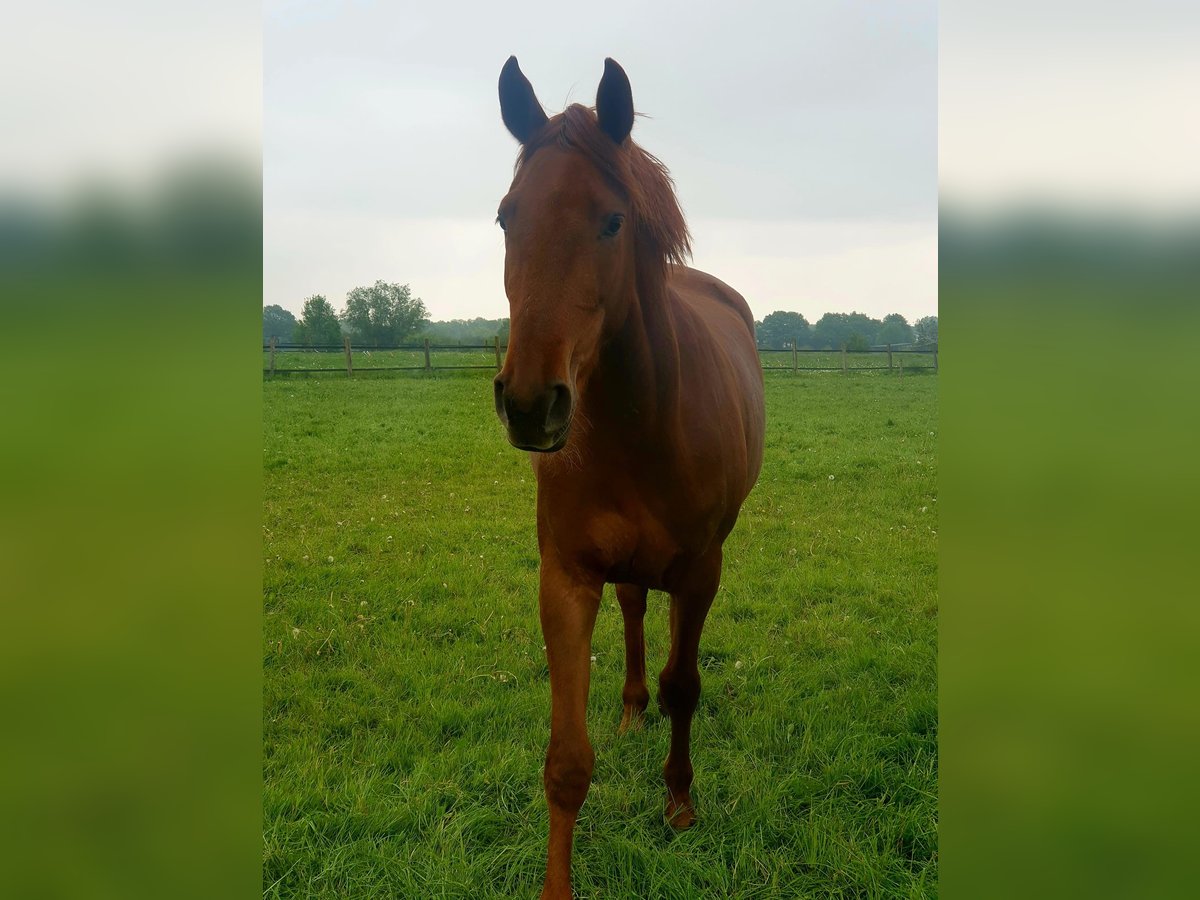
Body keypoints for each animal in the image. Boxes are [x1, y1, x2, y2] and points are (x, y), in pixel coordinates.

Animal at [492, 58, 763, 900]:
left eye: (612, 222)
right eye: (507, 217)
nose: (529, 402)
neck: (643, 423)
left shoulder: (703, 570)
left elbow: (686, 684)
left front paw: (679, 805)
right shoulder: (565, 577)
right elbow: (566, 761)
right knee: (637, 608)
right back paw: (630, 710)